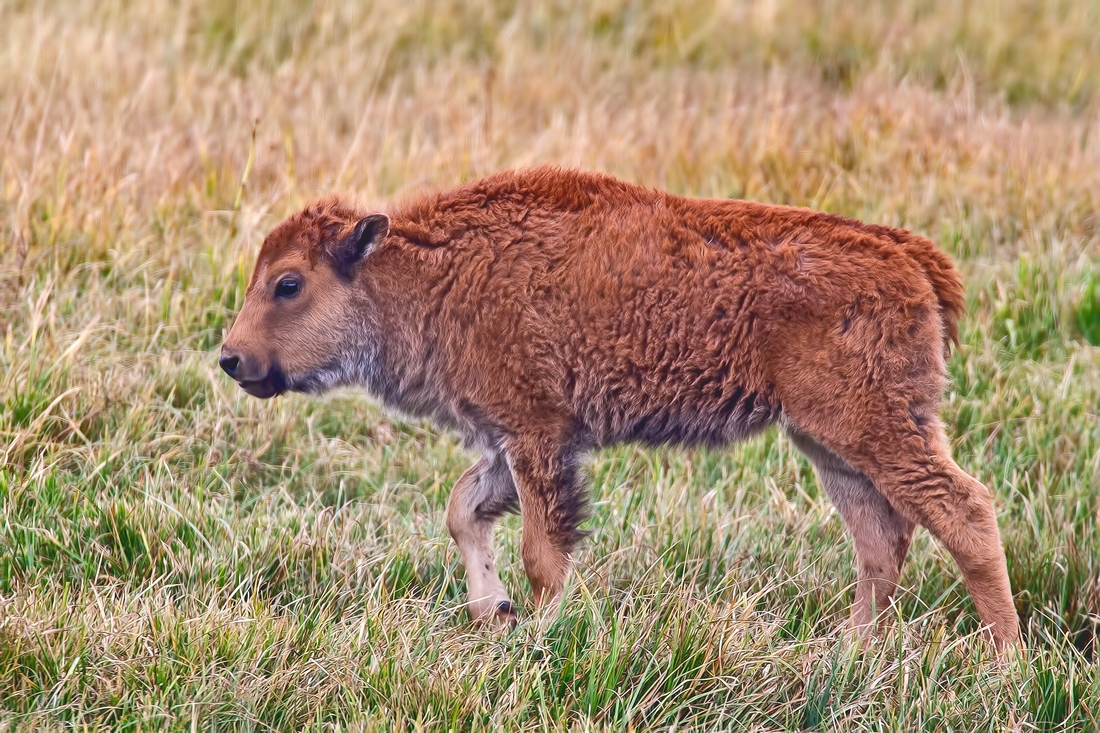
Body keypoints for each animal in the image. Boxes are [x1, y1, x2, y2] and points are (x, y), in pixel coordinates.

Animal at [221, 167, 1020, 651]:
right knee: (879, 537)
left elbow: (542, 550)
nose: (231, 358)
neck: (432, 271)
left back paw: (1005, 660)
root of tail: (907, 253)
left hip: (874, 428)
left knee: (963, 510)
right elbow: (462, 511)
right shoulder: (515, 440)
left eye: (288, 283)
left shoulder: (539, 434)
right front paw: (493, 611)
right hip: (828, 443)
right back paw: (849, 652)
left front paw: (539, 632)